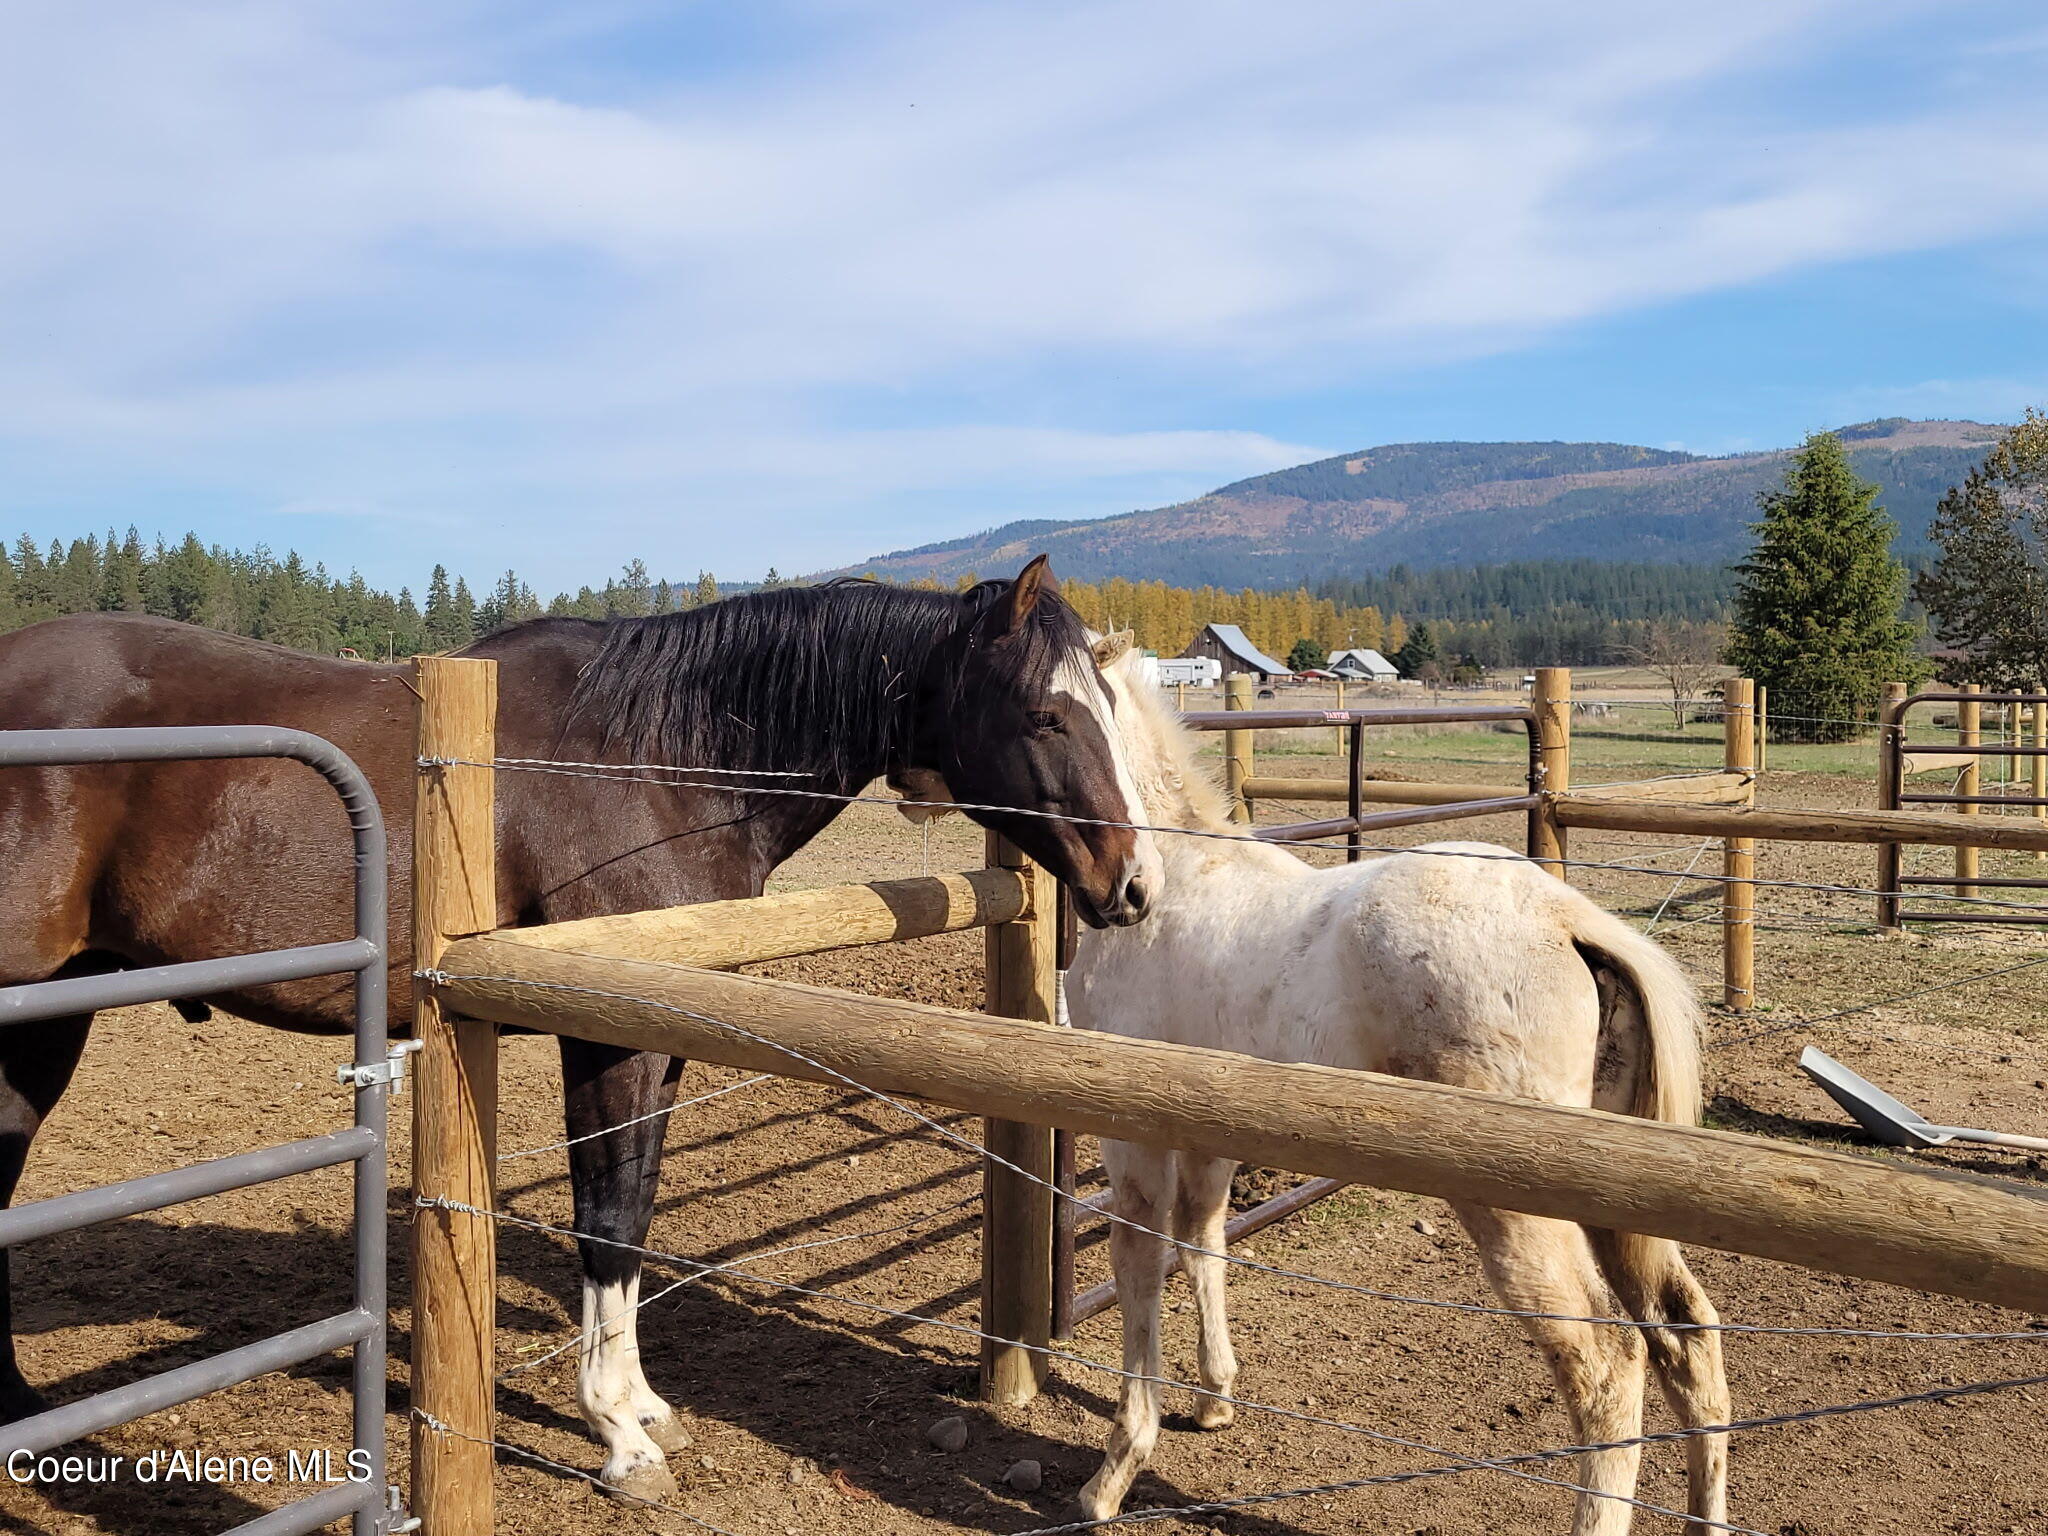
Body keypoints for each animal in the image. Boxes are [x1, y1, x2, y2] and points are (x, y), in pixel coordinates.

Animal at [0, 558, 1162, 1500]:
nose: (1135, 886)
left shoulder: (663, 1035)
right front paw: (617, 1438)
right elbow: (603, 1220)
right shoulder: (608, 1039)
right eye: (1046, 716)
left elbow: (633, 1215)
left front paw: (641, 1405)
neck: (656, 755)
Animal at [1065, 633, 1730, 1534]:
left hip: (1518, 1206)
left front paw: (1114, 1472)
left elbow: (1139, 1263)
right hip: (1614, 1192)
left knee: (1606, 1361)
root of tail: (1573, 921)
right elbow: (1203, 1242)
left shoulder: (1132, 1132)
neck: (1172, 873)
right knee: (1688, 1335)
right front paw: (1214, 1400)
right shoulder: (1208, 1136)